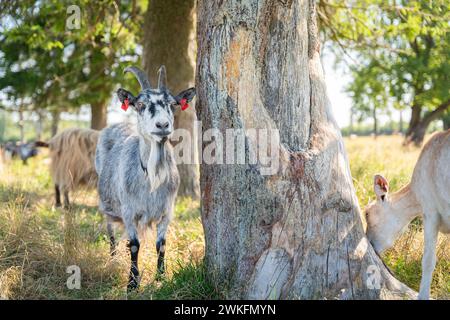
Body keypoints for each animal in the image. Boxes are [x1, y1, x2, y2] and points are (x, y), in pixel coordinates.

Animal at [96, 66, 196, 292]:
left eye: (173, 104)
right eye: (140, 104)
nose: (162, 125)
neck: (152, 177)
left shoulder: (167, 210)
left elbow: (162, 244)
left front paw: (161, 277)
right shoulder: (129, 211)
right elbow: (134, 245)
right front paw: (132, 283)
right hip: (108, 204)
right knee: (111, 231)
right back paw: (113, 259)